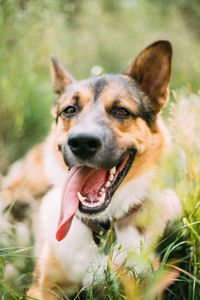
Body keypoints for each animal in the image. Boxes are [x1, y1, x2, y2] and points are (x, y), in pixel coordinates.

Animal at [25, 41, 181, 298]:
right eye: (69, 110)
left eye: (121, 111)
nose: (82, 142)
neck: (102, 227)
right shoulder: (41, 289)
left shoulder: (145, 288)